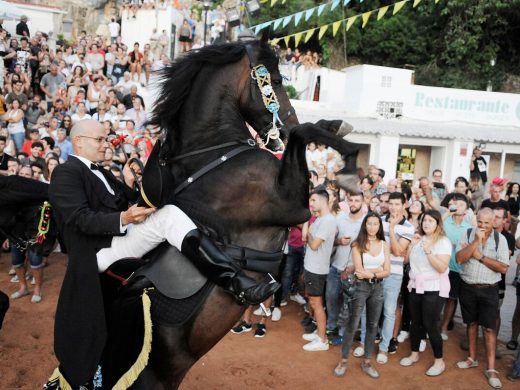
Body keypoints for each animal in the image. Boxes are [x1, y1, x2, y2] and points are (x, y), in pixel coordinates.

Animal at [104, 35, 358, 388]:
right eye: (274, 81)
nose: (287, 122)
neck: (217, 155)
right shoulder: (290, 206)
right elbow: (303, 133)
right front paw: (350, 164)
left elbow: (307, 132)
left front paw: (334, 126)